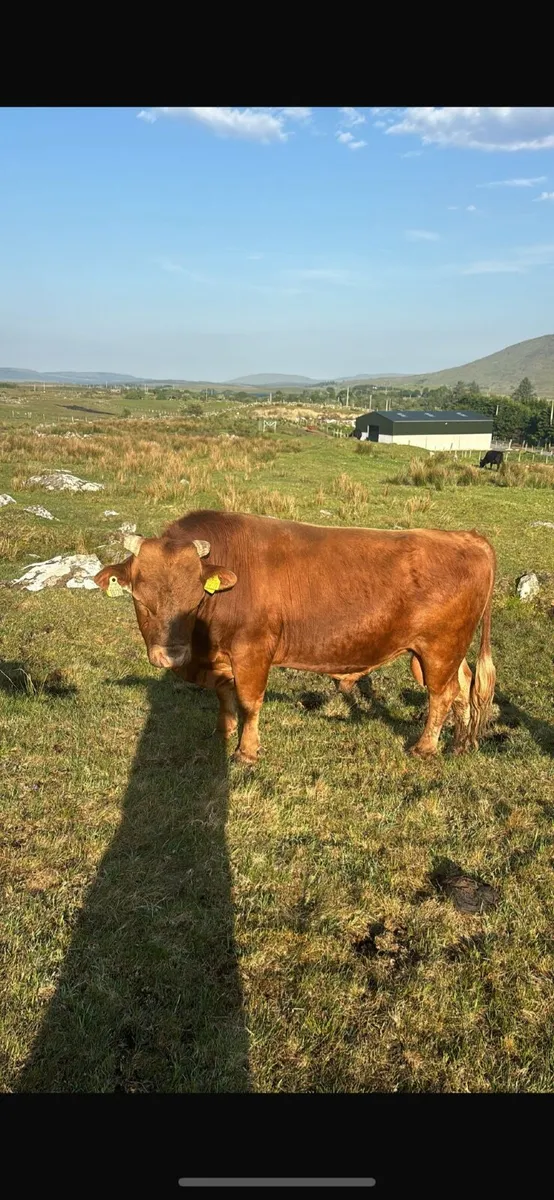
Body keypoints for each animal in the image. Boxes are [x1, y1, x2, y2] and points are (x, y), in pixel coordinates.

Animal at [94, 510, 496, 765]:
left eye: (196, 599)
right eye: (140, 599)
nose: (170, 655)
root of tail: (467, 537)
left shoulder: (253, 650)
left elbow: (249, 702)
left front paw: (246, 752)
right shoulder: (221, 659)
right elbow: (225, 697)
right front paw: (223, 735)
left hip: (439, 648)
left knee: (442, 694)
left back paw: (425, 748)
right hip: (444, 652)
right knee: (463, 686)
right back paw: (460, 744)